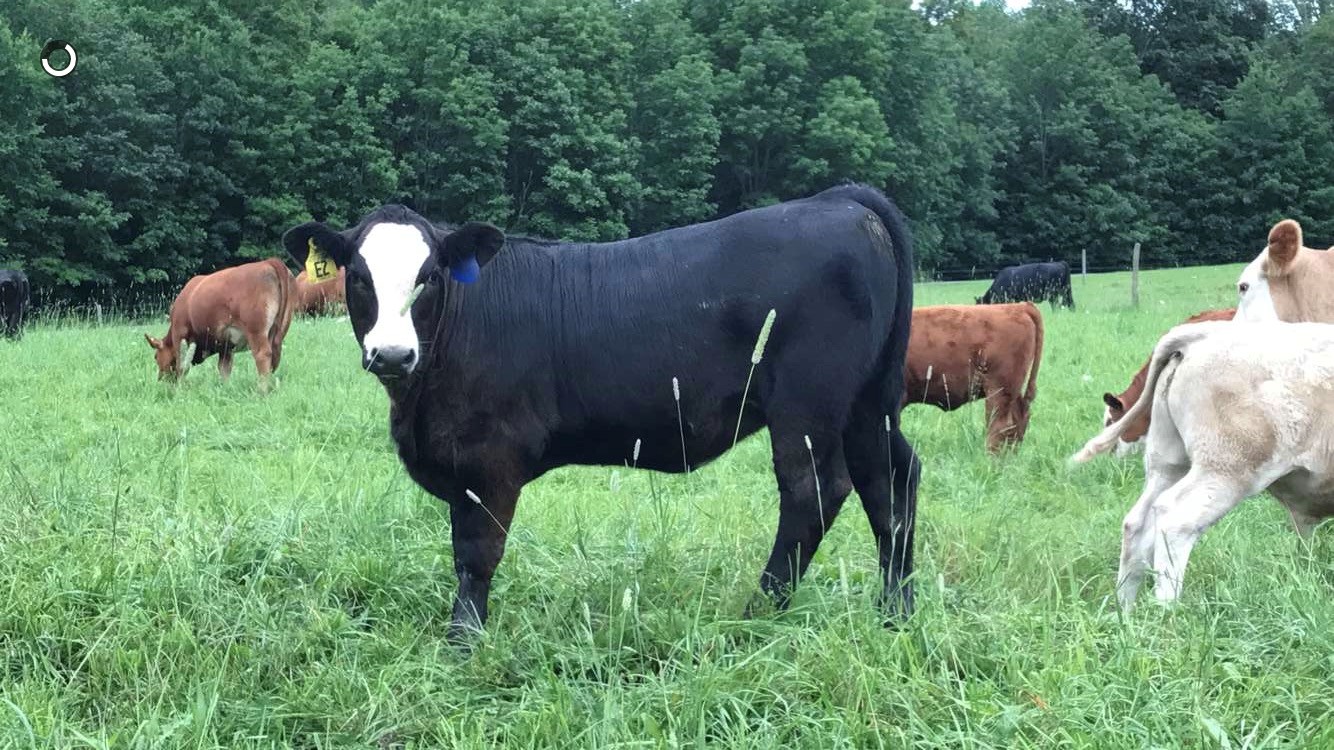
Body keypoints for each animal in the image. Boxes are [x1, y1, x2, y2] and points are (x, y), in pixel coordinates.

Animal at [144, 256, 293, 387]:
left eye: (156, 357)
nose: (160, 379)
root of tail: (268, 262)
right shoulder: (226, 346)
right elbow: (224, 369)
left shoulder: (179, 333)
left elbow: (182, 365)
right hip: (277, 332)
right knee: (273, 360)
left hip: (256, 330)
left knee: (262, 355)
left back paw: (261, 390)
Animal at [286, 181, 923, 635]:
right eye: (358, 278)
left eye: (431, 277)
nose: (393, 354)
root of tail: (837, 200)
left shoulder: (489, 460)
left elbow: (476, 553)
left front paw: (464, 641)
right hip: (867, 403)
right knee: (891, 481)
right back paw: (895, 611)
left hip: (806, 405)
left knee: (813, 491)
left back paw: (759, 613)